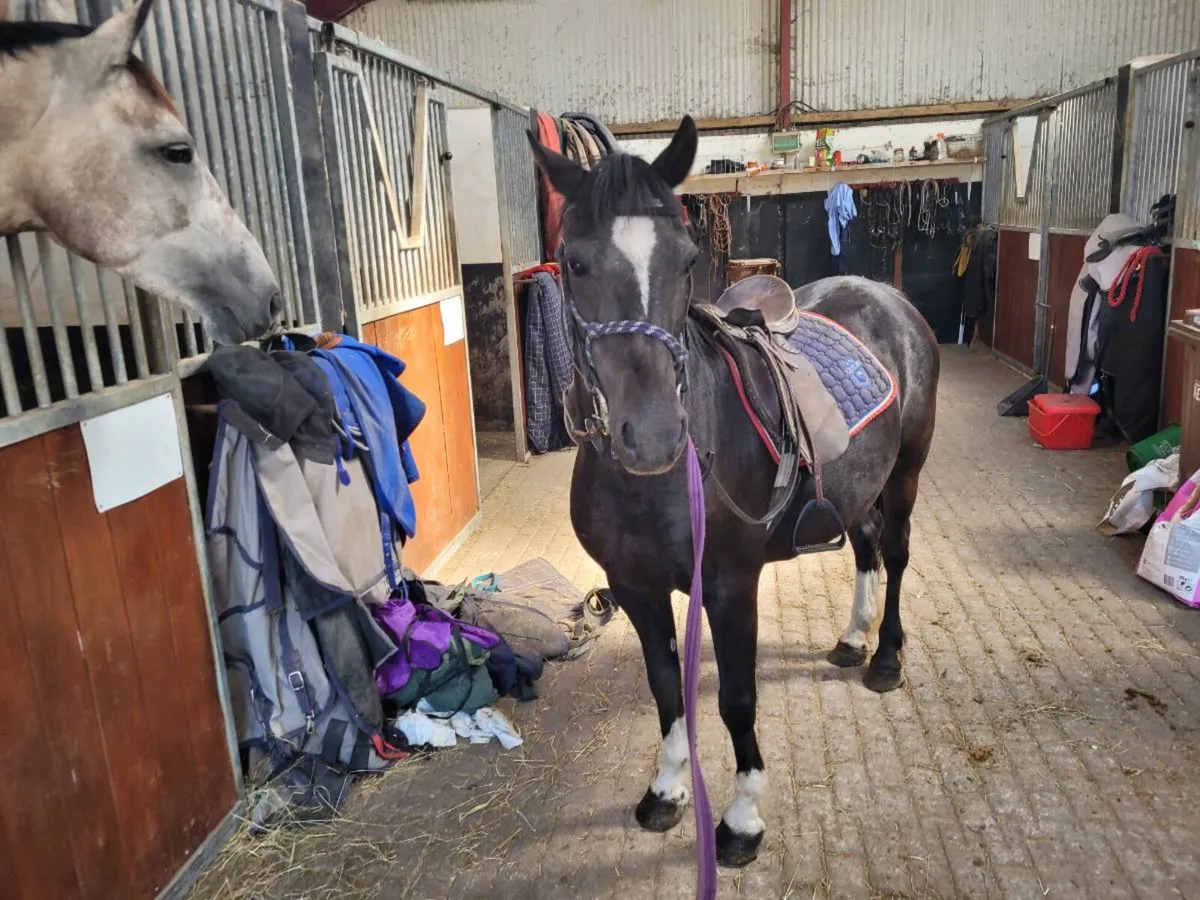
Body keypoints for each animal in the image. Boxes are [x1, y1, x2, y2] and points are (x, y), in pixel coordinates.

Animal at [527, 116, 940, 869]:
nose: (653, 435)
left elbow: (738, 699)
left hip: (905, 475)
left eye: (689, 259)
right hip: (856, 486)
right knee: (865, 547)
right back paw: (852, 637)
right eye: (573, 262)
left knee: (894, 555)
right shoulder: (633, 586)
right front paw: (665, 791)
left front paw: (742, 819)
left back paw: (886, 656)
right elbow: (667, 688)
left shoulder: (729, 585)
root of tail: (887, 298)